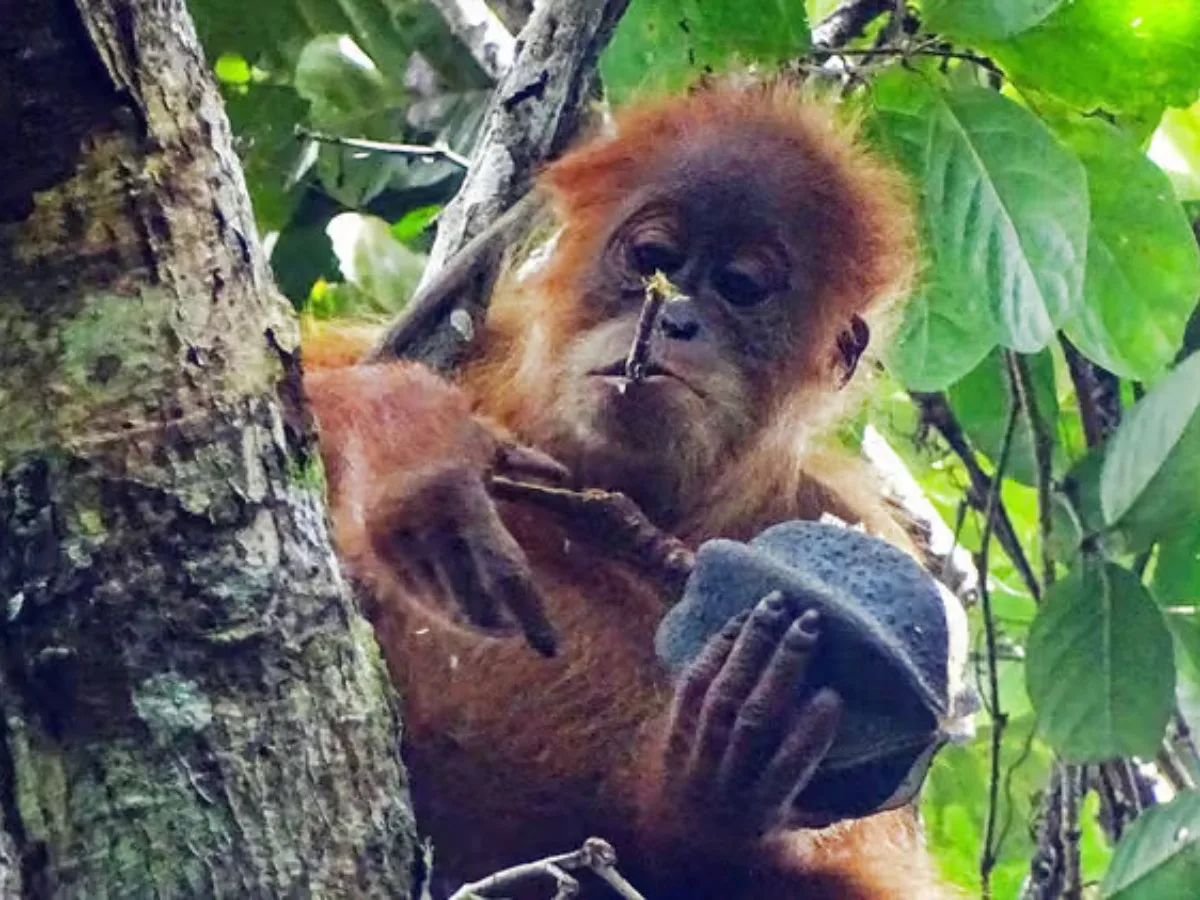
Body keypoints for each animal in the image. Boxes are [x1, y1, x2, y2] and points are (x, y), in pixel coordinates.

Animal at [303, 83, 956, 898]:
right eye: (652, 259)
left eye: (741, 289)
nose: (673, 316)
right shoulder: (481, 345)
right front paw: (414, 445)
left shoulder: (841, 515)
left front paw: (712, 795)